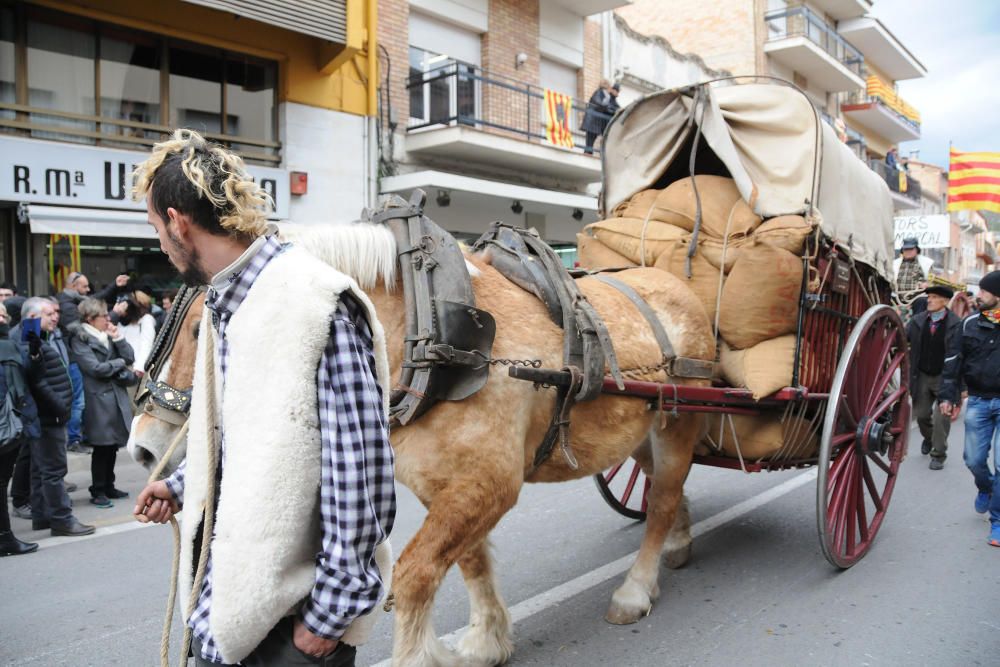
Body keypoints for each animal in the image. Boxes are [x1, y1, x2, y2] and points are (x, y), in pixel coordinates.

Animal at [129, 220, 716, 667]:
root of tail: (675, 284)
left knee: (663, 498)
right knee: (657, 486)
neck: (430, 333)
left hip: (680, 421)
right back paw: (681, 542)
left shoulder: (488, 483)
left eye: (202, 327)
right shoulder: (446, 485)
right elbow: (469, 562)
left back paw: (636, 587)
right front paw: (486, 640)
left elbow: (414, 576)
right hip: (639, 428)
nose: (142, 447)